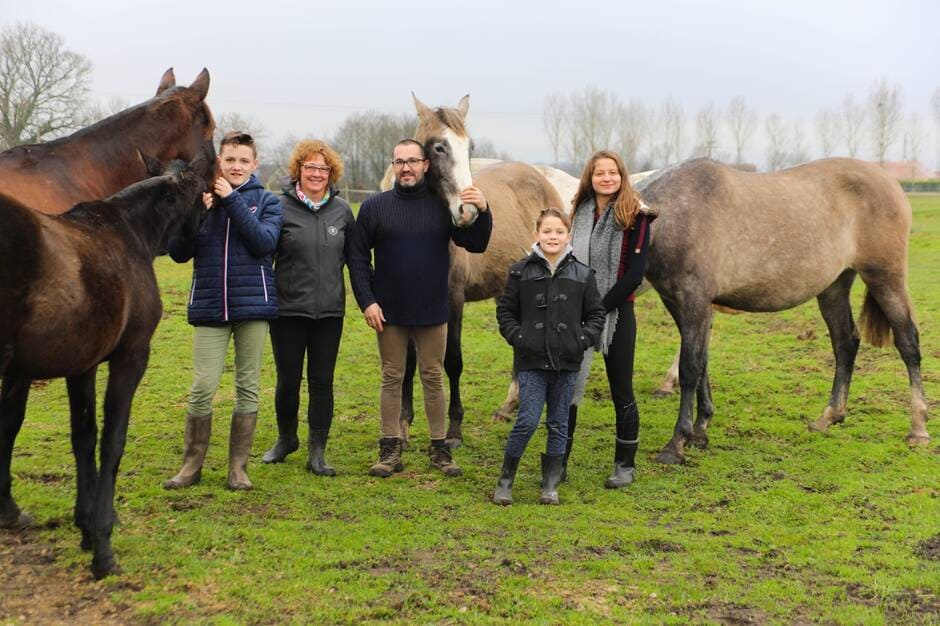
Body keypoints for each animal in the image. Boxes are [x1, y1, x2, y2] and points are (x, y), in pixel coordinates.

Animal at [0, 155, 209, 576]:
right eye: (202, 197)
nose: (187, 247)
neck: (128, 234)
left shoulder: (83, 364)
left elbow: (84, 437)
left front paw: (84, 525)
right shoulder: (131, 357)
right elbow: (113, 441)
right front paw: (102, 547)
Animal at [636, 157, 928, 464]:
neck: (679, 214)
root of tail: (888, 180)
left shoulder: (695, 301)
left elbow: (691, 367)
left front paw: (676, 444)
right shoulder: (677, 302)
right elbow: (702, 362)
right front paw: (700, 431)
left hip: (885, 277)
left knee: (908, 343)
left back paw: (918, 429)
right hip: (834, 286)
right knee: (845, 344)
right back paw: (829, 417)